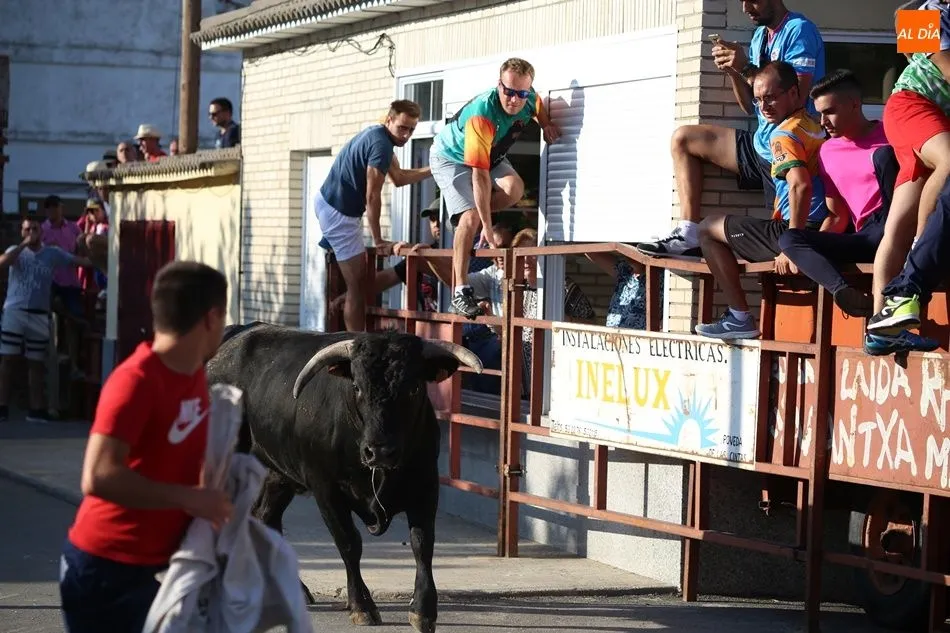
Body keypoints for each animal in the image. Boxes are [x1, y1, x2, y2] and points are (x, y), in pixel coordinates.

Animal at [204, 322, 483, 633]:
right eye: (357, 387)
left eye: (413, 388)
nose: (379, 450)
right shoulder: (326, 489)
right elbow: (349, 543)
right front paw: (362, 606)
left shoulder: (425, 484)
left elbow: (422, 544)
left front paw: (423, 610)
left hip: (278, 473)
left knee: (266, 517)